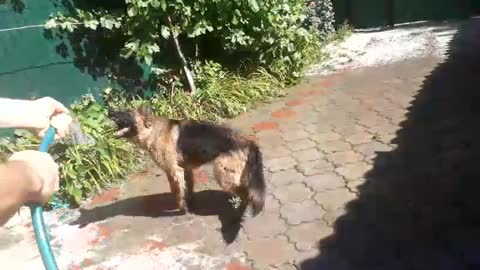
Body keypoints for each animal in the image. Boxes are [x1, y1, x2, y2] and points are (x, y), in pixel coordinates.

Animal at [109, 105, 266, 217]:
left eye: (127, 112)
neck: (151, 130)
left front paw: (182, 209)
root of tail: (248, 143)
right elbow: (187, 188)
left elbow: (177, 192)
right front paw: (189, 203)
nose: (109, 112)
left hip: (223, 175)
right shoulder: (186, 170)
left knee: (246, 194)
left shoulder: (173, 171)